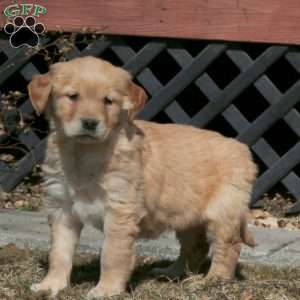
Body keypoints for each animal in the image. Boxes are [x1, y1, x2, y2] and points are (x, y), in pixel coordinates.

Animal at [28, 56, 256, 298]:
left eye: (108, 101)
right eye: (73, 96)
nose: (90, 123)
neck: (85, 153)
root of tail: (242, 148)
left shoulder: (119, 210)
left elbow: (111, 254)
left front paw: (106, 289)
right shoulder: (62, 209)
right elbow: (59, 253)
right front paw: (50, 285)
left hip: (223, 212)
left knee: (228, 248)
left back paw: (211, 281)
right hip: (187, 214)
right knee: (195, 246)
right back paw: (171, 273)